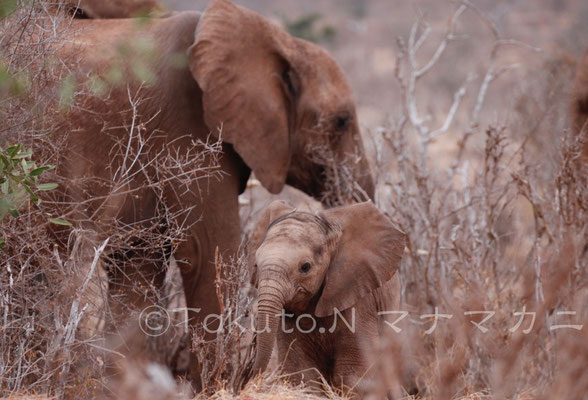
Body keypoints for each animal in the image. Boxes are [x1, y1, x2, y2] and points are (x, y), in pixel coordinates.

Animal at [51, 0, 372, 388]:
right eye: (341, 121)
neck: (276, 39)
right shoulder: (189, 131)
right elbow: (209, 254)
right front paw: (215, 388)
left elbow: (137, 266)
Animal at [247, 202, 404, 396]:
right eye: (255, 265)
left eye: (305, 267)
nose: (251, 377)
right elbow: (301, 372)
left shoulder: (358, 298)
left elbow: (352, 376)